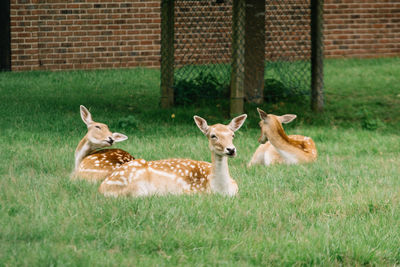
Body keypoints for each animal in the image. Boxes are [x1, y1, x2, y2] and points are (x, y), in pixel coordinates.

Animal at [97, 114, 247, 198]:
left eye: (233, 135)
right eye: (213, 135)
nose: (231, 149)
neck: (221, 189)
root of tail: (102, 187)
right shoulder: (192, 192)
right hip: (135, 185)